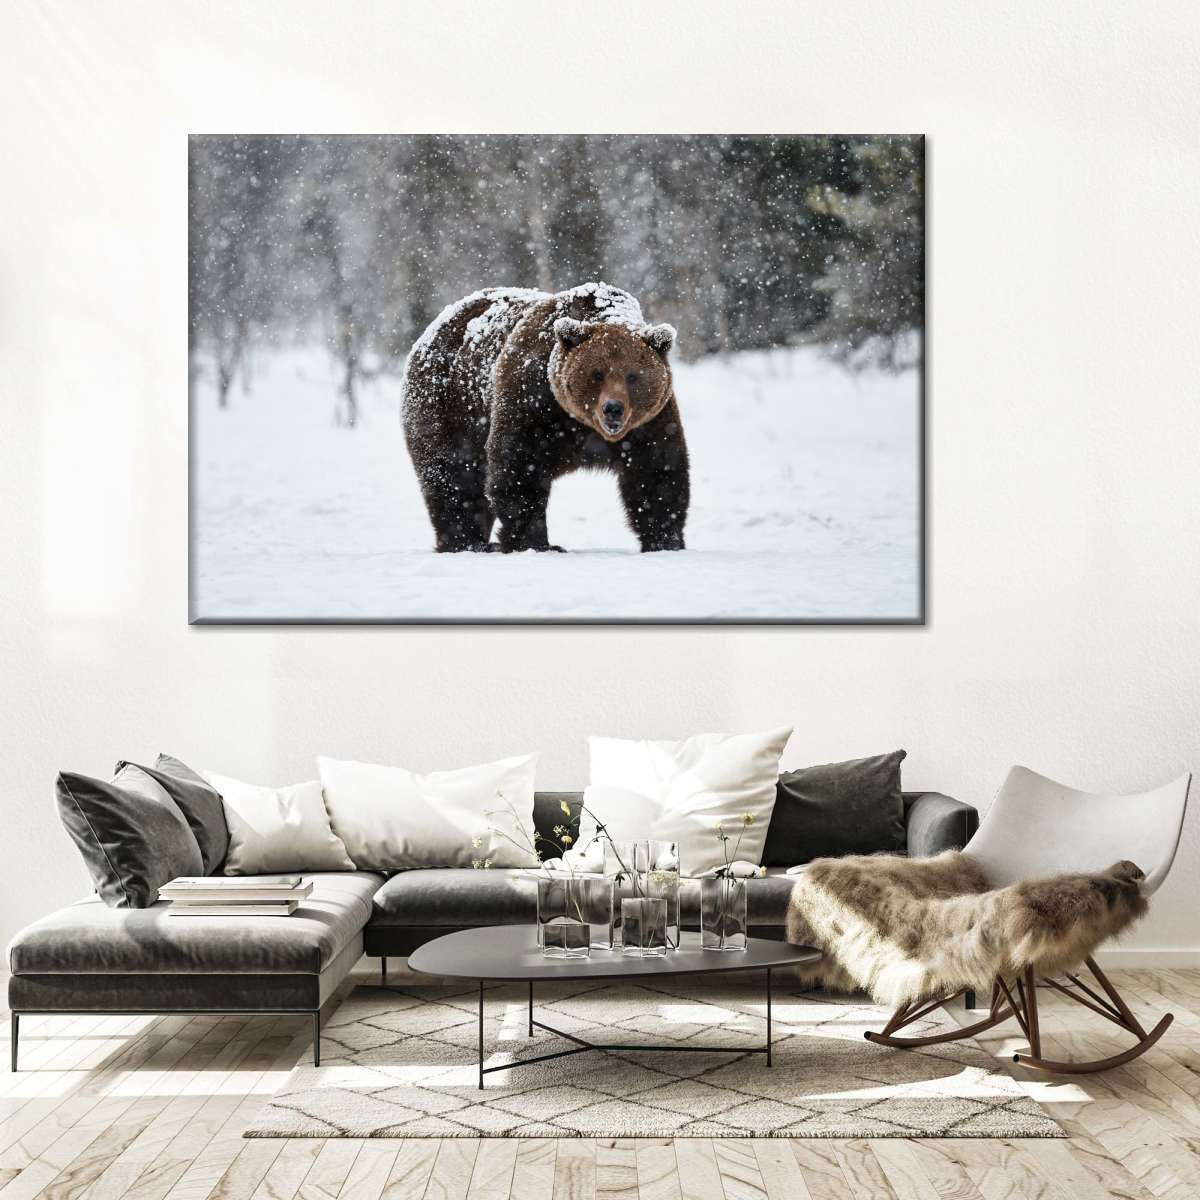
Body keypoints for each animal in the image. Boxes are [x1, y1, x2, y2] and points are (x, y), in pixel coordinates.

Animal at [401, 282, 689, 554]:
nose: (613, 408)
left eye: (633, 376)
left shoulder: (649, 422)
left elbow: (657, 472)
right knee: (455, 476)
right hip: (450, 405)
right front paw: (535, 542)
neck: (582, 425)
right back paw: (466, 542)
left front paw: (665, 541)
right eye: (597, 373)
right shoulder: (533, 400)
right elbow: (519, 467)